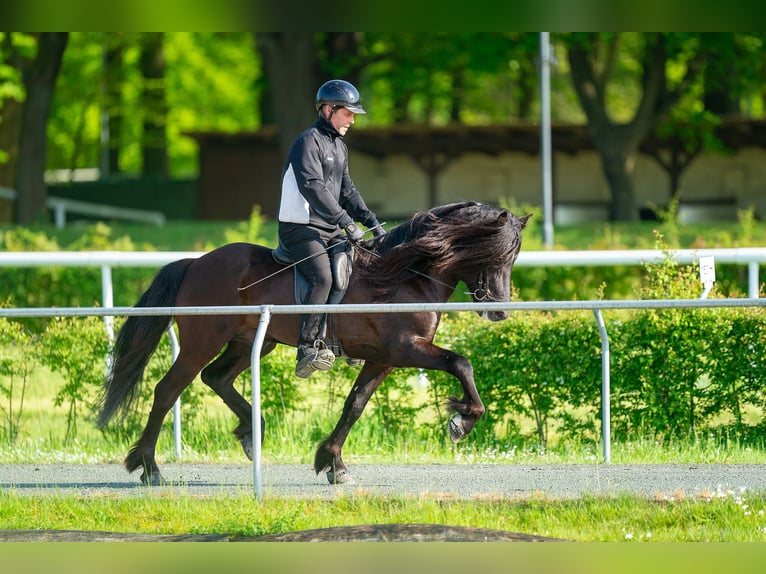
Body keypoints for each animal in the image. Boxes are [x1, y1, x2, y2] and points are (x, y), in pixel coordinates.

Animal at [97, 202, 528, 486]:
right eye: (496, 254)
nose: (499, 310)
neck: (405, 274)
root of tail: (197, 263)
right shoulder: (406, 348)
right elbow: (461, 363)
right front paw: (462, 420)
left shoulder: (383, 359)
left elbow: (355, 405)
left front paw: (332, 462)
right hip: (202, 342)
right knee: (168, 390)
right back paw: (149, 467)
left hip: (254, 342)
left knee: (216, 378)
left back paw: (251, 431)